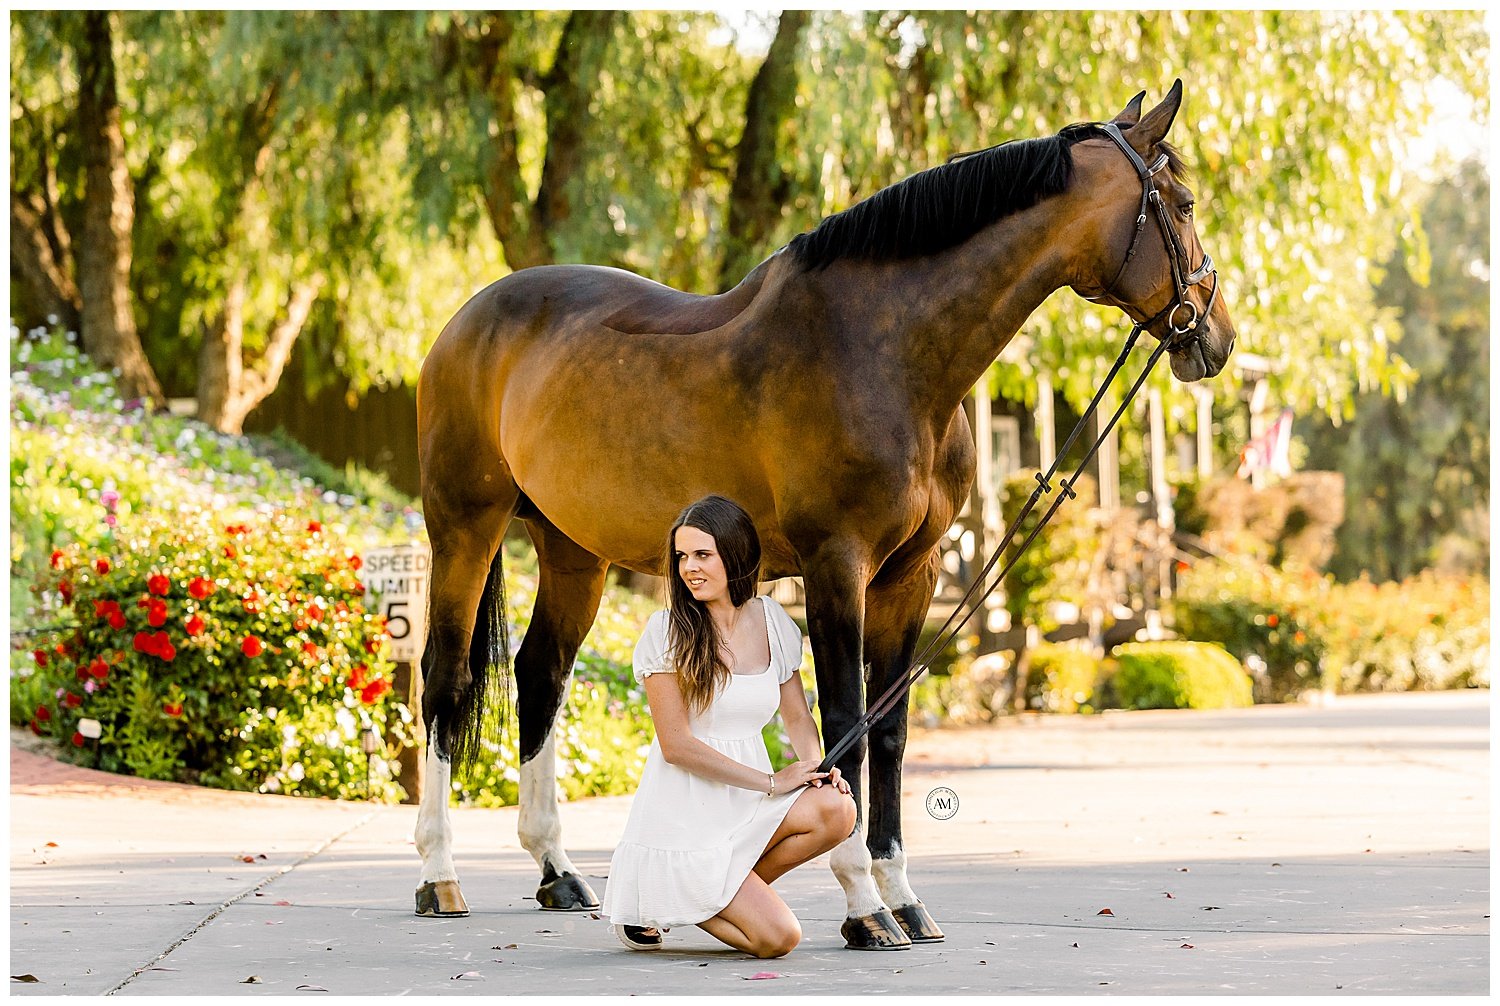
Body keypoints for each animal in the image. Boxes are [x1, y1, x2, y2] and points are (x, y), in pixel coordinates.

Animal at [411, 80, 1230, 953]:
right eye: (1181, 204)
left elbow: (891, 726)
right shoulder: (838, 565)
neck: (884, 351)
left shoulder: (914, 574)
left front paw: (904, 896)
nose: (1214, 337)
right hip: (464, 526)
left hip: (572, 550)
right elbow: (845, 720)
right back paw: (439, 875)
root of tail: (468, 319)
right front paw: (863, 905)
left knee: (540, 675)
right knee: (445, 677)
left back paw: (558, 872)